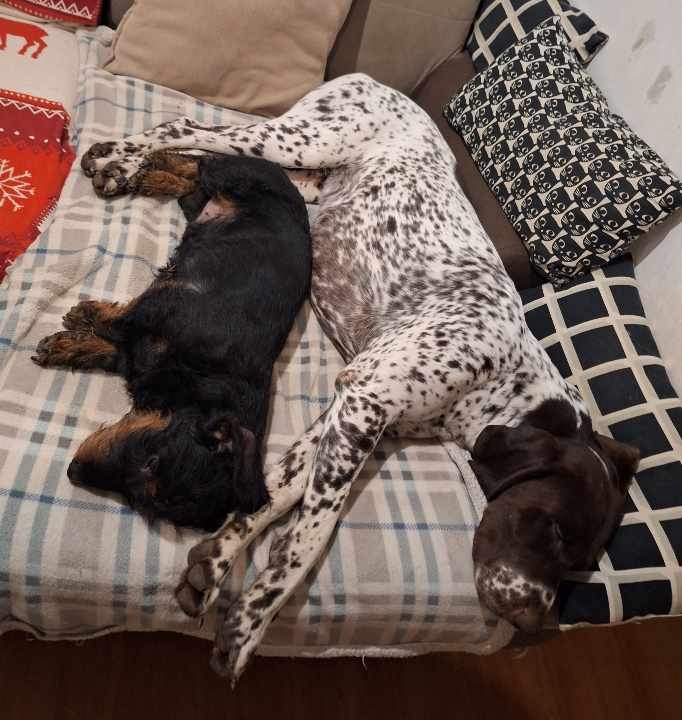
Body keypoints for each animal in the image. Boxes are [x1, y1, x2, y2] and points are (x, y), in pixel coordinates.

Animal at [32, 154, 312, 531]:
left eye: (141, 502)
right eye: (152, 460)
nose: (73, 471)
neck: (207, 380)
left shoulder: (143, 353)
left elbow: (114, 350)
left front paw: (65, 345)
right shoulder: (165, 303)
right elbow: (120, 321)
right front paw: (85, 316)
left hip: (198, 206)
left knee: (191, 186)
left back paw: (155, 177)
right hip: (239, 176)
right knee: (201, 161)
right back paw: (153, 165)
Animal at [80, 74, 640, 681]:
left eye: (581, 561)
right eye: (554, 532)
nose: (538, 629)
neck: (504, 378)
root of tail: (375, 82)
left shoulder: (345, 416)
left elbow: (272, 494)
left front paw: (220, 559)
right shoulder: (365, 403)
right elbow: (313, 533)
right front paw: (254, 618)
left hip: (303, 179)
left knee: (203, 160)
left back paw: (139, 170)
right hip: (303, 141)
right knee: (189, 129)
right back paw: (118, 157)